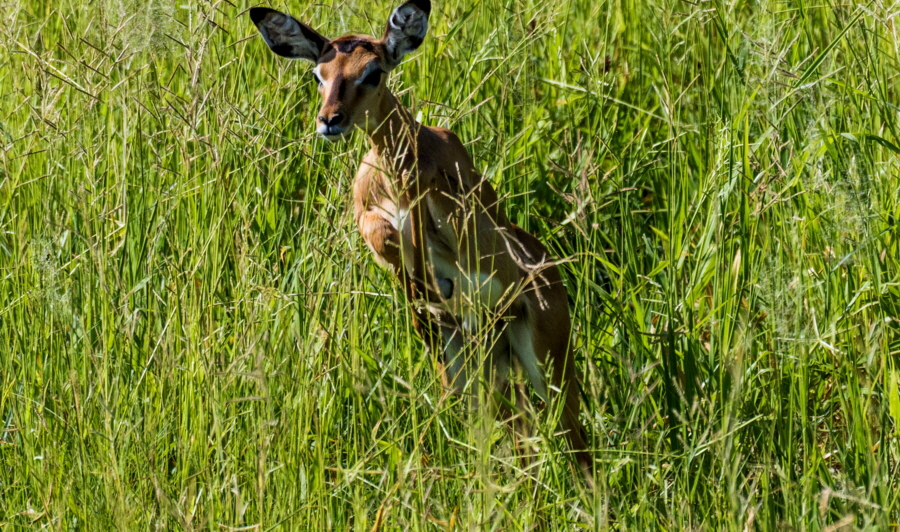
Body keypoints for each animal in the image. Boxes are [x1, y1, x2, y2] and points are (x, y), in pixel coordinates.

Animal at [249, 0, 593, 482]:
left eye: (373, 71)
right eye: (319, 73)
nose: (330, 121)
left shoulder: (454, 208)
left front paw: (435, 282)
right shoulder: (371, 215)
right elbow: (384, 235)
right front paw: (426, 287)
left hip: (546, 362)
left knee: (575, 441)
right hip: (476, 367)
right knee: (519, 429)